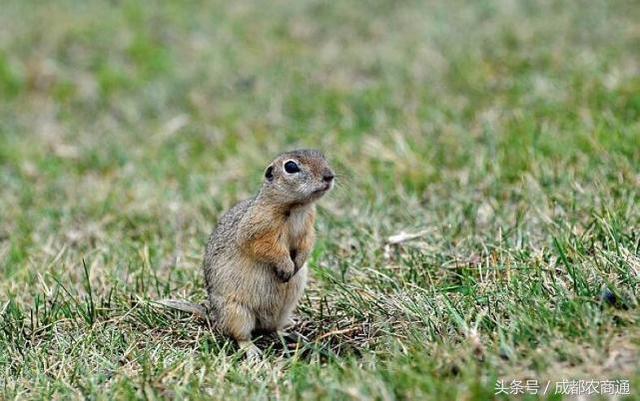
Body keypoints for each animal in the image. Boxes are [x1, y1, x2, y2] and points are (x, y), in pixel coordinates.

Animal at [159, 148, 336, 358]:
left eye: (322, 156)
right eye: (291, 166)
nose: (329, 176)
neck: (296, 208)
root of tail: (214, 316)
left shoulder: (308, 228)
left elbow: (306, 245)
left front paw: (297, 264)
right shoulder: (258, 229)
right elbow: (265, 247)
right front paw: (286, 267)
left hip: (283, 310)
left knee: (273, 329)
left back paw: (292, 336)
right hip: (237, 313)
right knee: (240, 335)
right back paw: (252, 350)